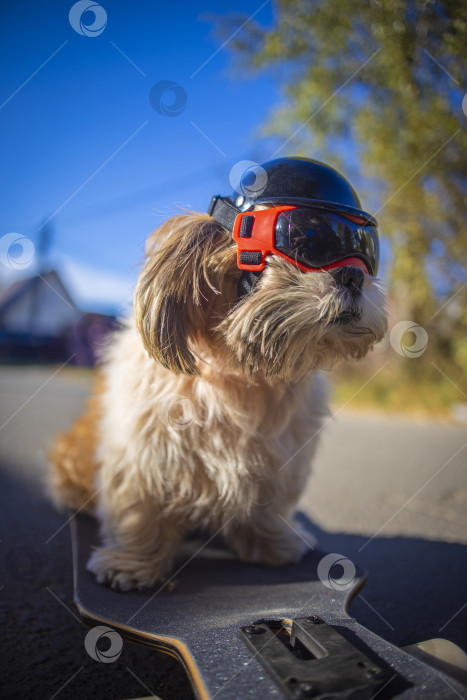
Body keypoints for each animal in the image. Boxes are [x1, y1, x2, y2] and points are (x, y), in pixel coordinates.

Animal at [49, 159, 390, 592]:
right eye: (306, 239)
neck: (243, 377)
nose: (354, 275)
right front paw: (133, 562)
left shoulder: (281, 460)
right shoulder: (141, 454)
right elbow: (138, 511)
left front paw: (272, 543)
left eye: (366, 253)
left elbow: (269, 504)